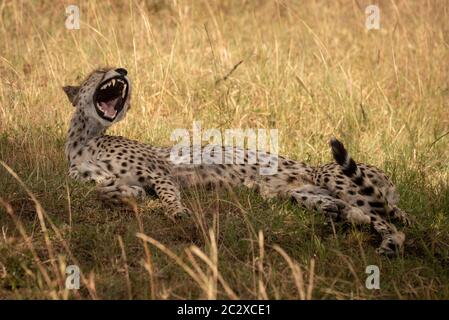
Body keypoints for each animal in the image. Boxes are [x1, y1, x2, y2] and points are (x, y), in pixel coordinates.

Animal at [62, 67, 410, 255]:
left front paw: (176, 212)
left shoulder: (160, 172)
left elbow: (169, 195)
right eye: (99, 71)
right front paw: (123, 195)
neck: (85, 140)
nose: (122, 70)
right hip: (298, 192)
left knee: (388, 220)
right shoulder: (97, 178)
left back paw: (391, 242)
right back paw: (336, 214)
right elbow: (103, 189)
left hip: (334, 176)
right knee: (353, 211)